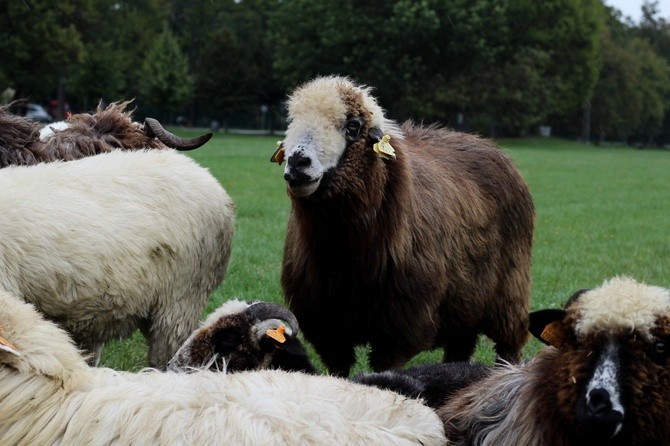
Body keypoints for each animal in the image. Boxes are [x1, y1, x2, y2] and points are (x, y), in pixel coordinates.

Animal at [270, 76, 540, 376]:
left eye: (353, 126)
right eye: (292, 120)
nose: (297, 162)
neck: (348, 256)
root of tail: (484, 142)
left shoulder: (398, 327)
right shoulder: (327, 326)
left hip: (510, 291)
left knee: (508, 345)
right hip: (464, 299)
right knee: (460, 346)